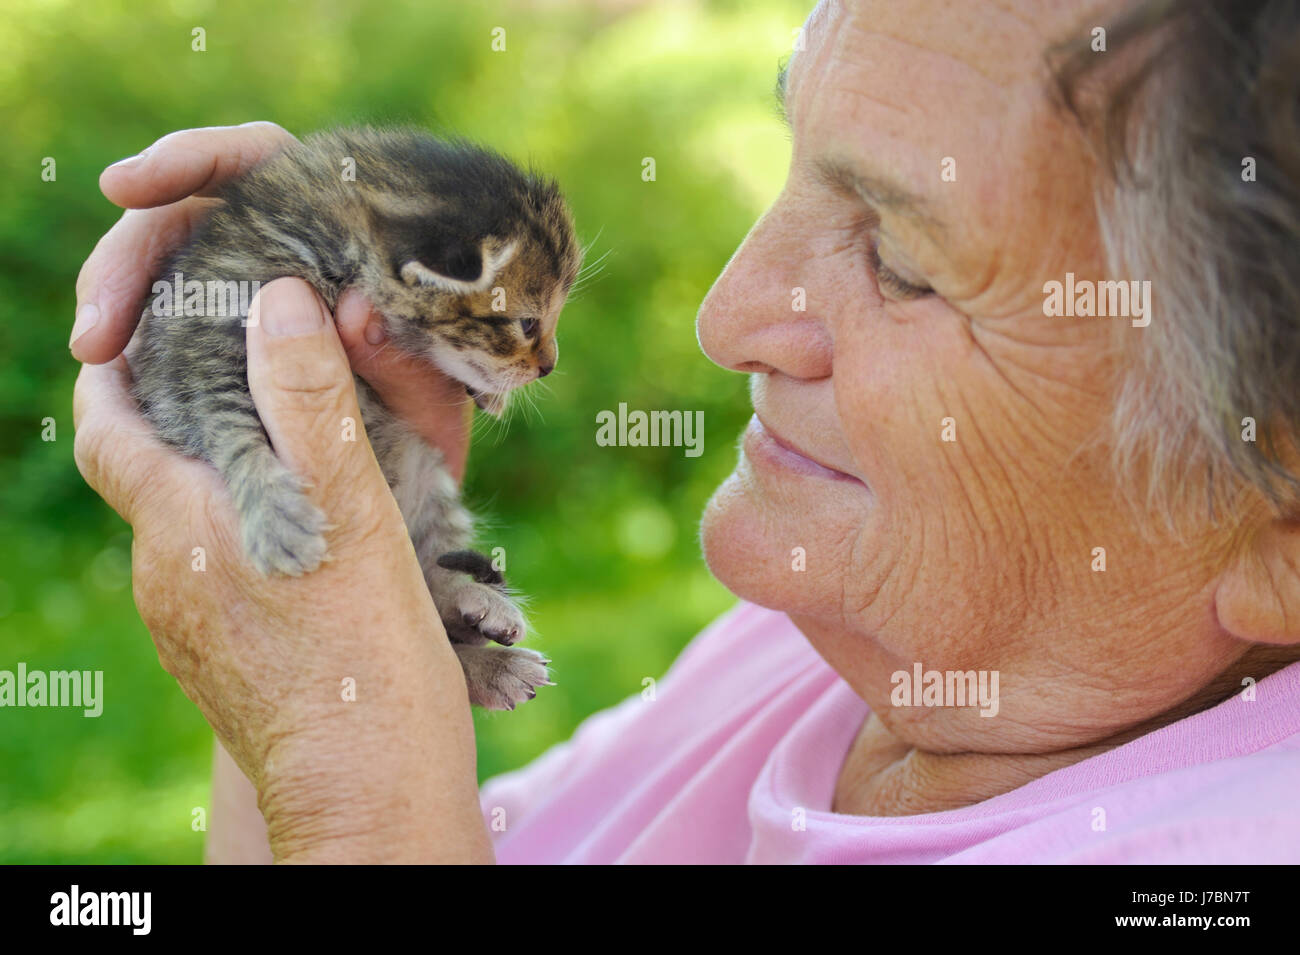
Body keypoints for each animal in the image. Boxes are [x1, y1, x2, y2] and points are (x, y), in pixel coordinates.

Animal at [124, 127, 582, 712]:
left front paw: (488, 392)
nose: (549, 366)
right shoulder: (194, 361)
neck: (322, 242)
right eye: (527, 322)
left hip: (429, 481)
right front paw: (275, 517)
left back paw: (476, 612)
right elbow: (231, 430)